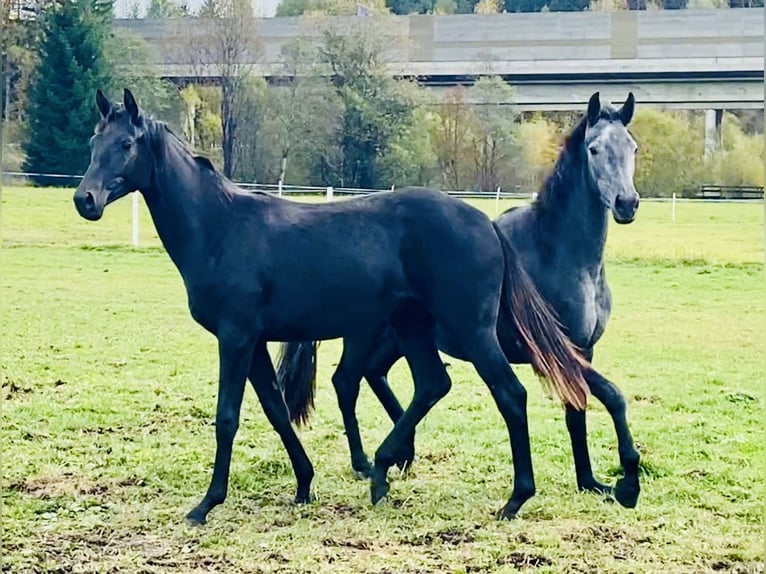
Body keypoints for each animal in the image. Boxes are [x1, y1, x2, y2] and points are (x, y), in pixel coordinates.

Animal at [72, 89, 588, 528]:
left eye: (126, 143)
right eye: (94, 141)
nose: (85, 200)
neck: (221, 227)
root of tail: (485, 223)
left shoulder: (235, 337)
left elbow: (227, 417)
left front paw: (206, 504)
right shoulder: (254, 341)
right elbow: (277, 410)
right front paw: (304, 485)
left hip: (471, 330)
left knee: (510, 394)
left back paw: (514, 498)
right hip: (413, 325)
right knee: (432, 384)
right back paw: (381, 472)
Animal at [280, 92, 644, 516]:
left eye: (632, 147)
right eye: (594, 148)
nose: (626, 203)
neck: (558, 254)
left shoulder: (581, 349)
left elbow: (586, 407)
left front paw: (595, 482)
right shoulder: (545, 351)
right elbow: (594, 399)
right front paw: (622, 480)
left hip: (397, 339)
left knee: (378, 375)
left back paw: (402, 452)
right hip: (365, 336)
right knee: (347, 382)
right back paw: (366, 461)